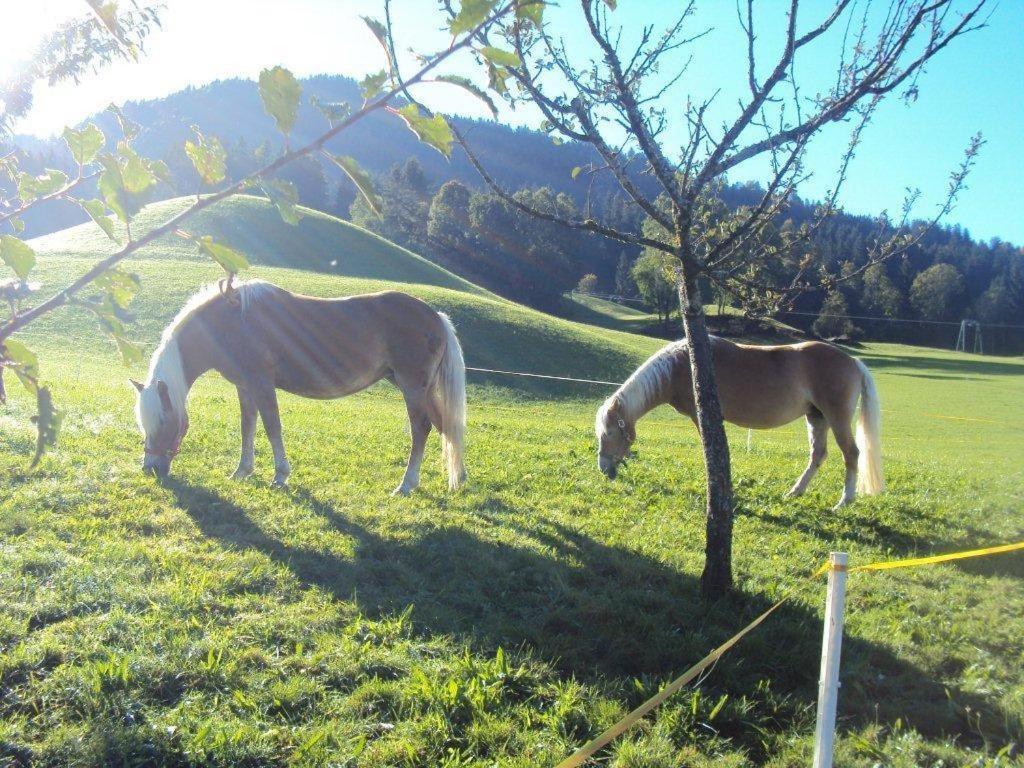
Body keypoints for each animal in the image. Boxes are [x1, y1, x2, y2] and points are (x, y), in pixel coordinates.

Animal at [130, 280, 466, 495]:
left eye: (164, 422)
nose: (150, 468)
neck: (230, 321)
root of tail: (436, 316)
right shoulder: (245, 386)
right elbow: (247, 426)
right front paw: (242, 471)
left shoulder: (261, 382)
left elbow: (272, 426)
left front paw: (280, 476)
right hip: (420, 388)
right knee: (445, 425)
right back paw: (459, 478)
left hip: (411, 386)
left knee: (421, 429)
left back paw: (407, 484)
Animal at [598, 337, 884, 512]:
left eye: (609, 432)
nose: (603, 468)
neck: (684, 364)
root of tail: (853, 361)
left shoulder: (701, 417)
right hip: (816, 417)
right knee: (818, 455)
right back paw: (795, 492)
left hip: (836, 417)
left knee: (851, 454)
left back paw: (844, 501)